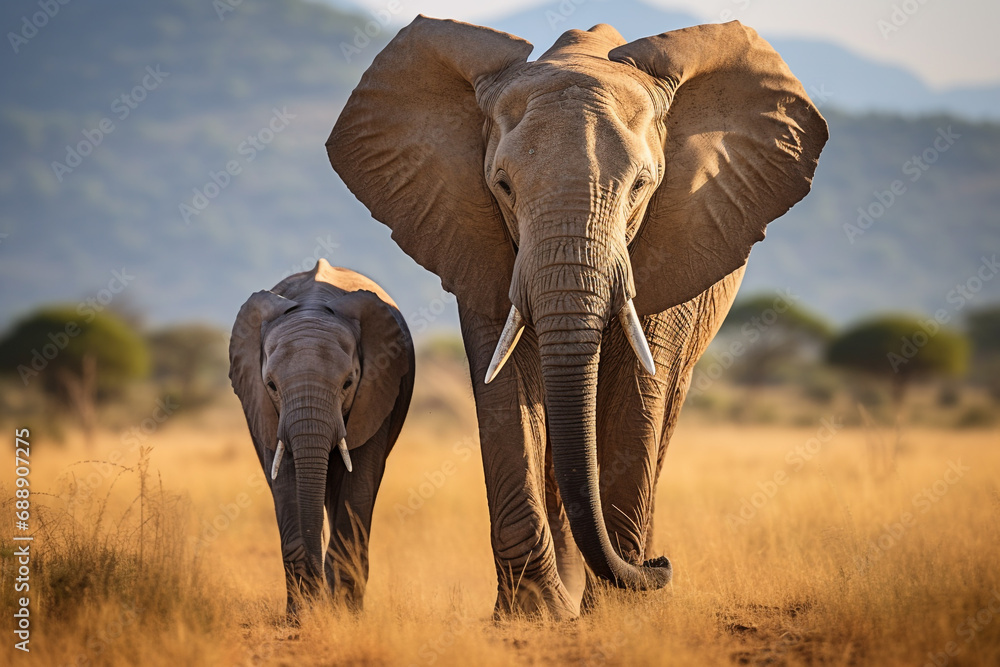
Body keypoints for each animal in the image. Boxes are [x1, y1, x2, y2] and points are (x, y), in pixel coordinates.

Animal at [229, 258, 413, 615]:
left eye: (348, 383)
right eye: (271, 385)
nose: (321, 595)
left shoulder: (377, 389)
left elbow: (359, 480)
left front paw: (345, 614)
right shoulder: (264, 408)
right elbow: (286, 481)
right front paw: (303, 616)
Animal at [327, 18, 827, 619]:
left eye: (641, 186)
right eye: (502, 186)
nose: (662, 567)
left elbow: (637, 390)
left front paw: (619, 613)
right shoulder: (477, 237)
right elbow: (505, 392)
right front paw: (533, 614)